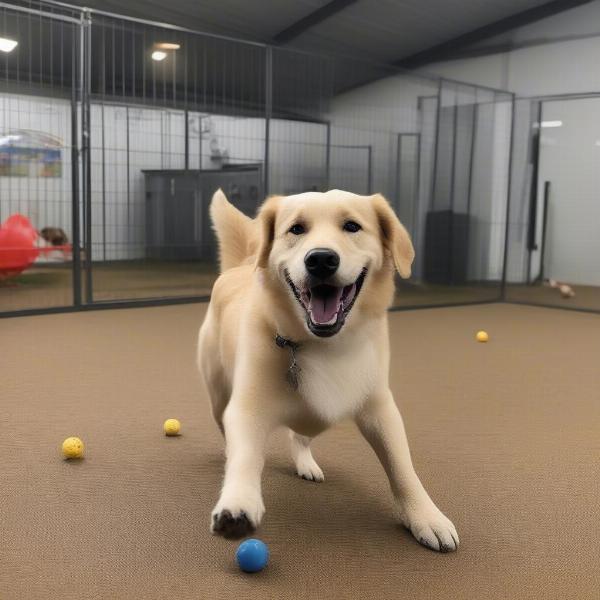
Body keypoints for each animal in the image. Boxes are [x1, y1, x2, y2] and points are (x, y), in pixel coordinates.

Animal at [197, 189, 460, 552]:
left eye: (352, 226)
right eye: (296, 229)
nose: (321, 259)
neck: (322, 346)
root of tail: (242, 265)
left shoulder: (381, 410)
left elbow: (402, 466)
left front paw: (426, 515)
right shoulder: (248, 407)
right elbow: (245, 455)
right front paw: (238, 502)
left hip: (315, 415)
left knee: (299, 435)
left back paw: (306, 463)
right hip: (218, 397)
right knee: (231, 432)